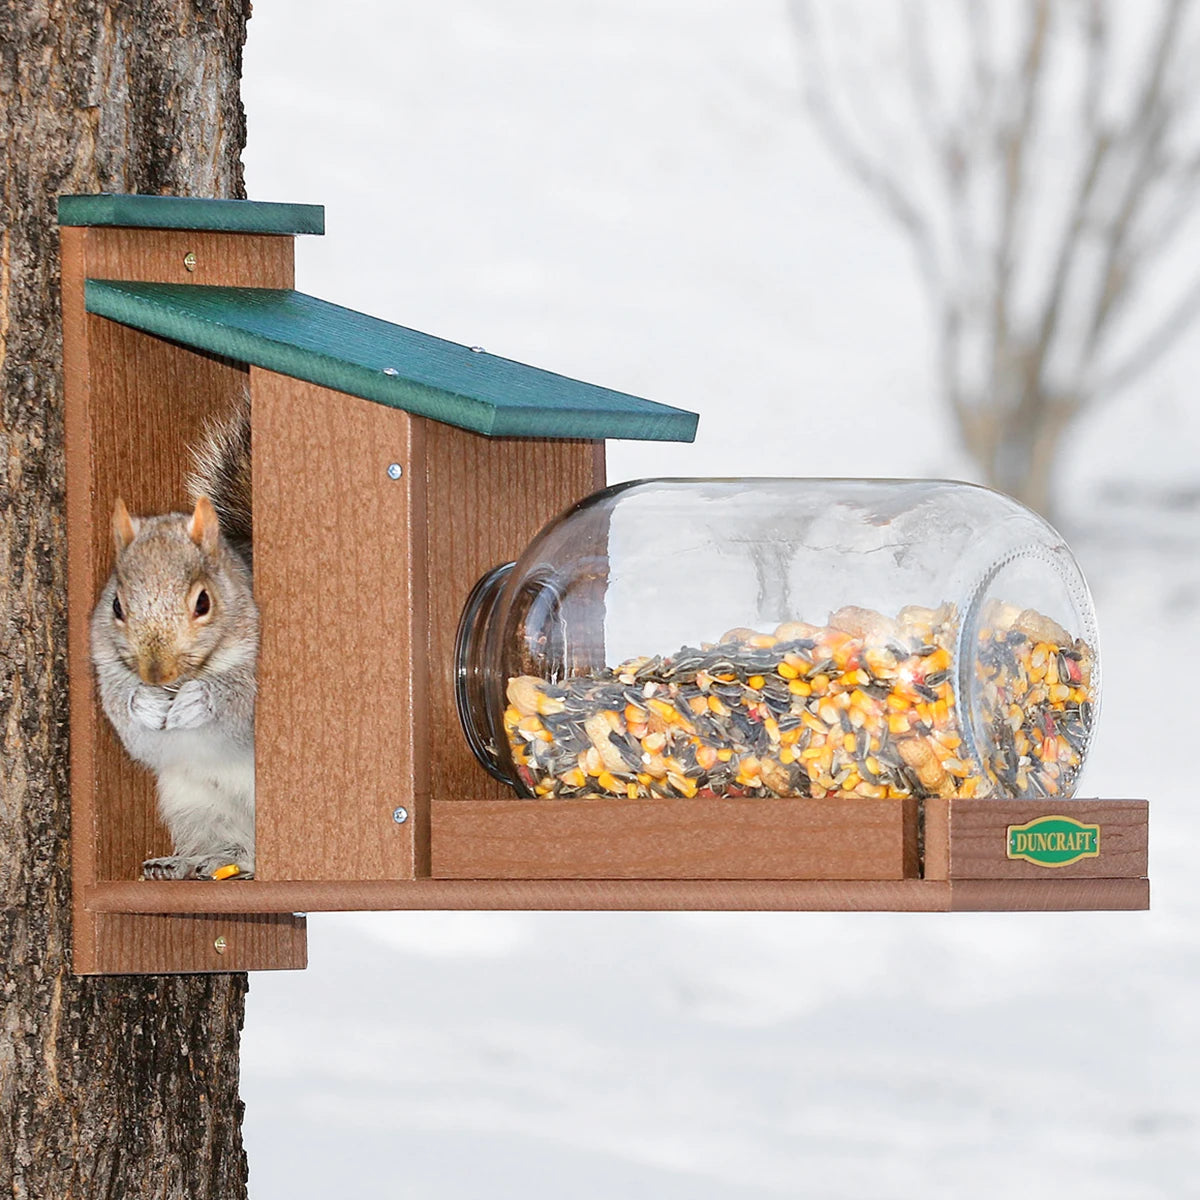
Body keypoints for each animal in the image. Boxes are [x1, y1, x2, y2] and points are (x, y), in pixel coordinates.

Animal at [89, 393, 258, 880]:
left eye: (204, 602)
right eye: (117, 605)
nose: (155, 673)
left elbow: (240, 708)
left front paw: (200, 700)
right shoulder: (106, 668)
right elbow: (130, 725)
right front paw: (142, 703)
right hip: (194, 802)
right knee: (231, 844)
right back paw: (193, 862)